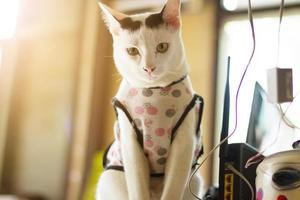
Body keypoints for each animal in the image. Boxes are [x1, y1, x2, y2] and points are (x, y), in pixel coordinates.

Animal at [96, 0, 204, 199]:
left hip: (194, 180)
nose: (149, 68)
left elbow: (172, 189)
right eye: (132, 51)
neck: (154, 93)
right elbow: (138, 187)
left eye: (162, 47)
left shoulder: (184, 142)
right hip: (112, 177)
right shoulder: (130, 142)